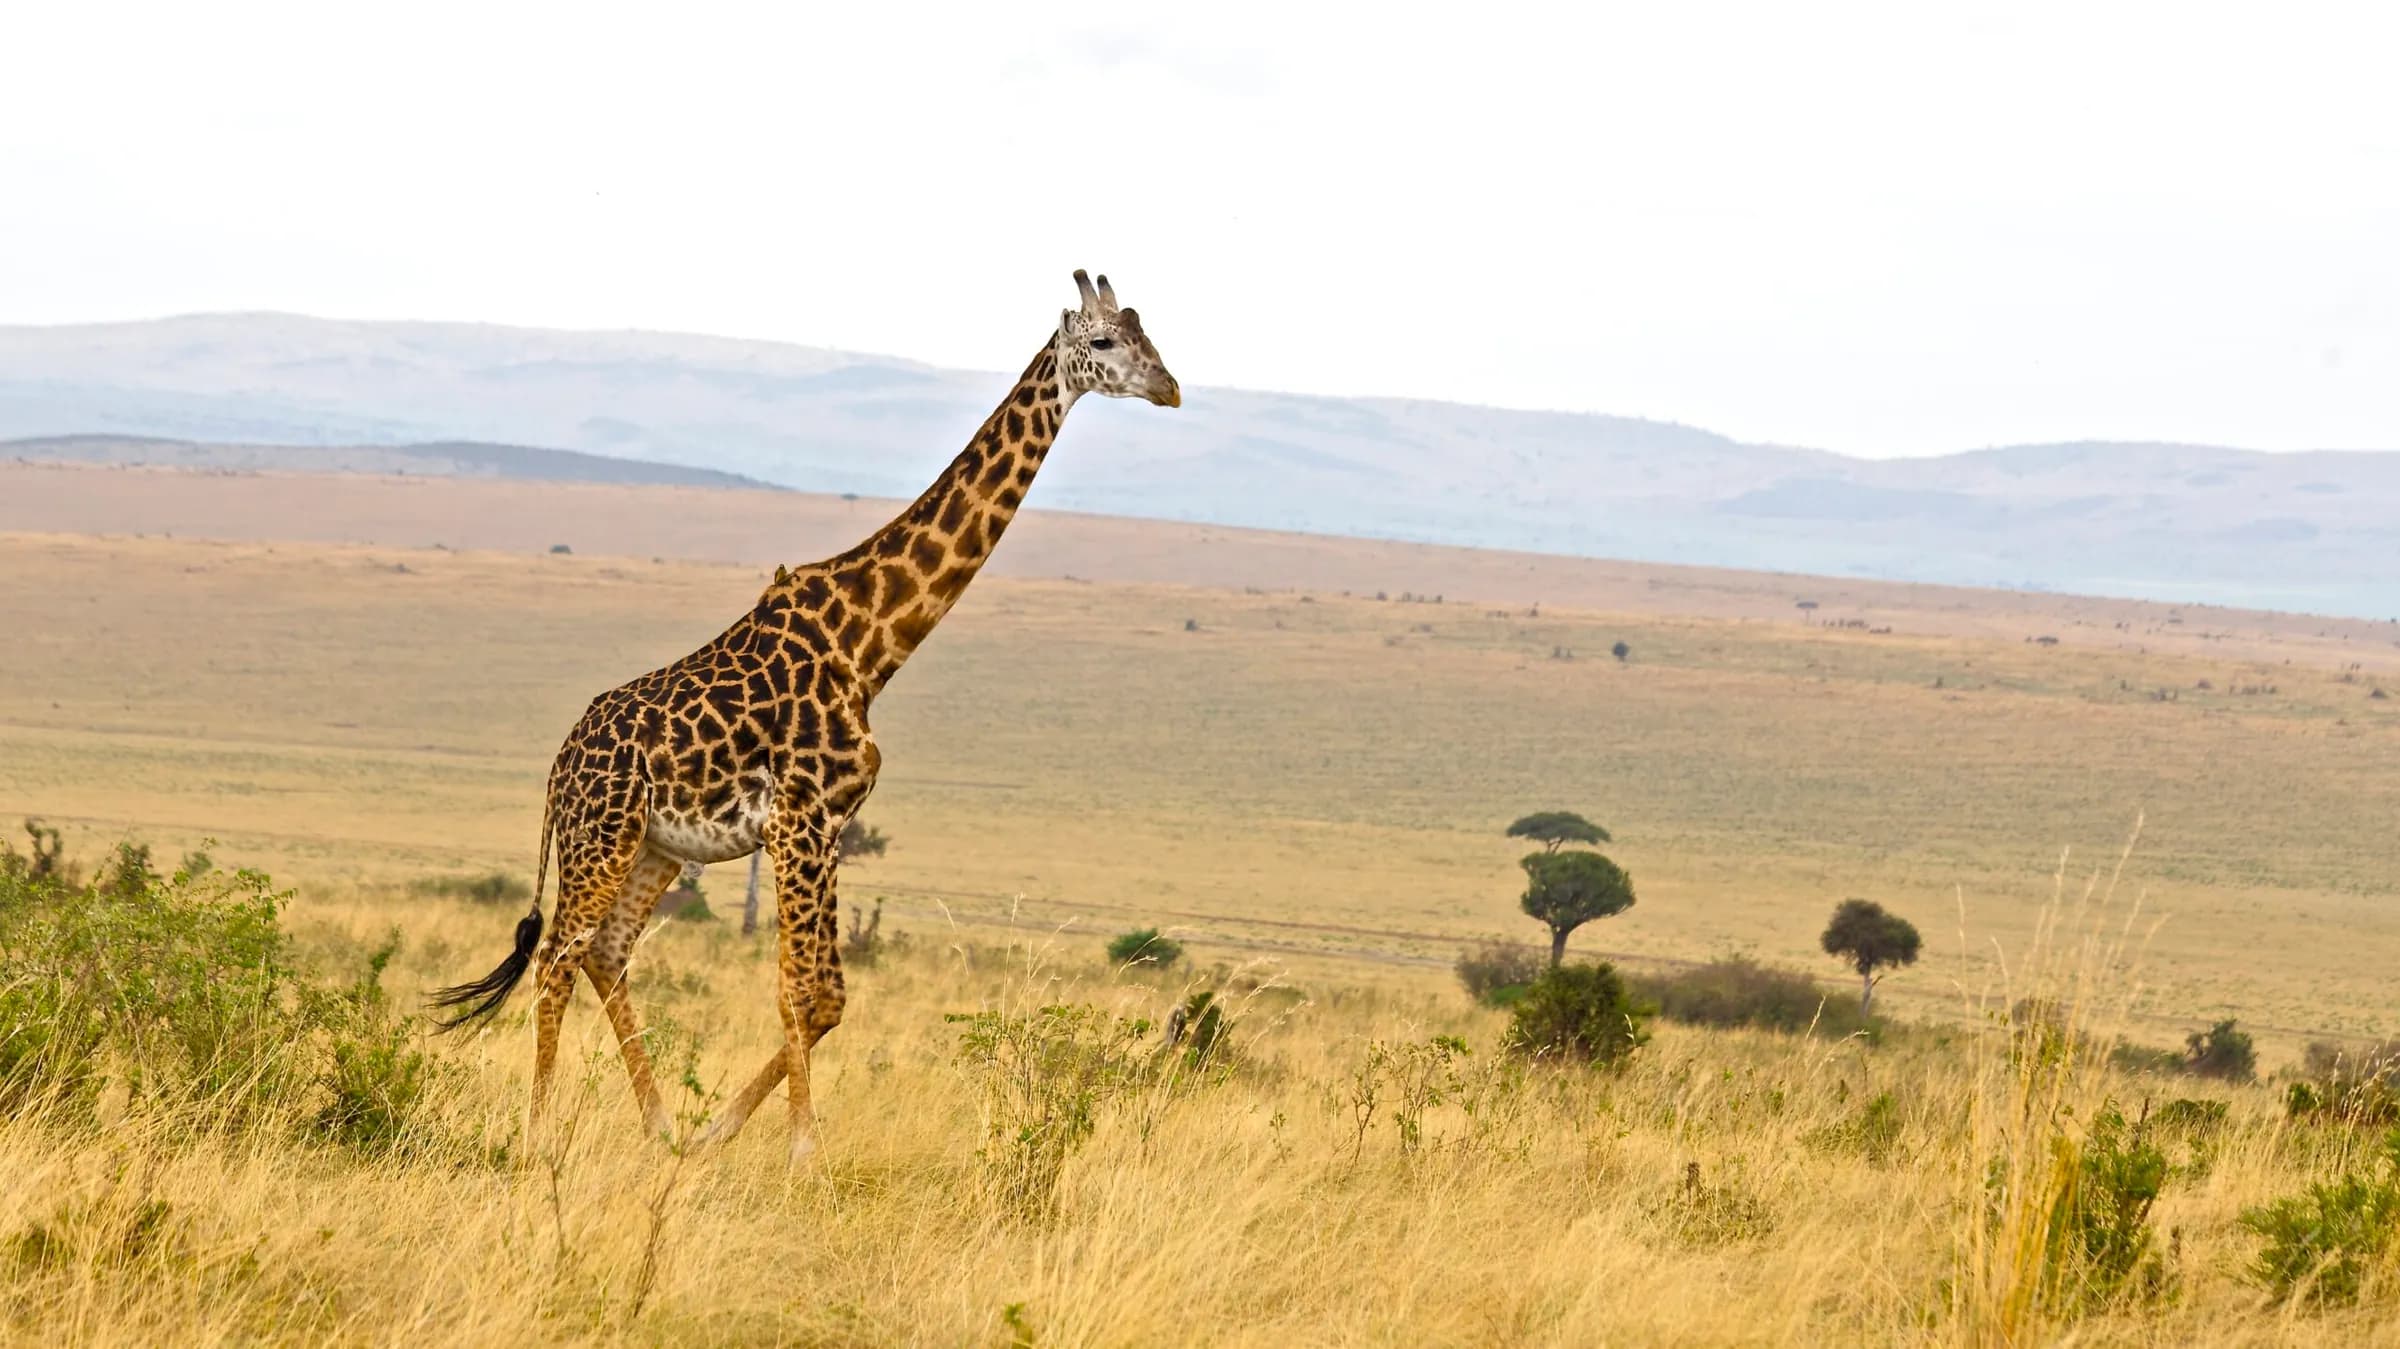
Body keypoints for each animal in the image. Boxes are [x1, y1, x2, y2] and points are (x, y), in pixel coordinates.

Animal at [430, 270, 1181, 1162]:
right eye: (1102, 342)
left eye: (1150, 333)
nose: (1170, 388)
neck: (871, 642)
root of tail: (557, 767)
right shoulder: (799, 820)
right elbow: (802, 990)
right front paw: (802, 1154)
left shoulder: (827, 822)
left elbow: (827, 997)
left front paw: (720, 1132)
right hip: (601, 837)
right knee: (556, 958)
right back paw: (540, 1135)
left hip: (656, 848)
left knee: (606, 954)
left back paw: (663, 1127)